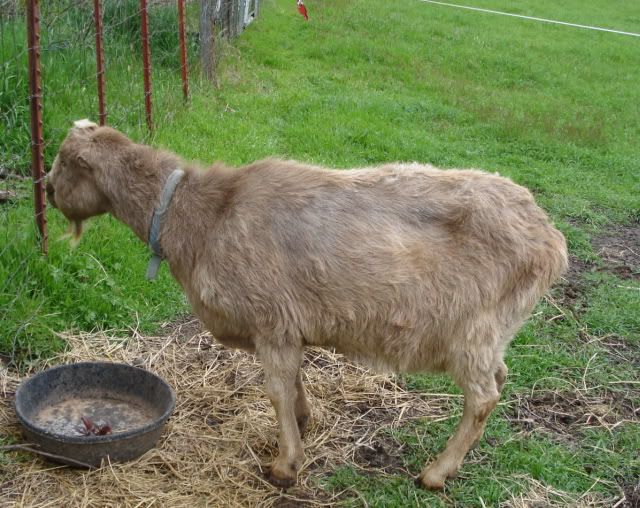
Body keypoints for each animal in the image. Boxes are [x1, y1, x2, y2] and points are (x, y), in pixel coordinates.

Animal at [46, 120, 568, 489]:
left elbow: (275, 389)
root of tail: (550, 238)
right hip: (493, 334)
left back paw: (436, 474)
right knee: (499, 379)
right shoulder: (285, 327)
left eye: (65, 162)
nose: (47, 190)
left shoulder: (270, 320)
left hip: (471, 331)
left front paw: (285, 465)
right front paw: (301, 423)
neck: (201, 214)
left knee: (483, 397)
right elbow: (293, 383)